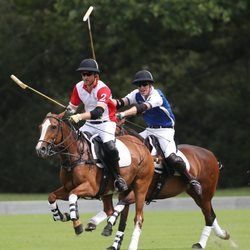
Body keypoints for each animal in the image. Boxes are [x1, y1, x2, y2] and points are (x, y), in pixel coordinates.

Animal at [35, 113, 154, 250]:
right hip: (112, 190)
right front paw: (61, 215)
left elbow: (72, 195)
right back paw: (101, 228)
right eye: (40, 127)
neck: (75, 156)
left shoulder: (90, 188)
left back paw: (131, 244)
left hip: (141, 186)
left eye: (54, 127)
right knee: (113, 210)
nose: (40, 149)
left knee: (138, 217)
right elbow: (52, 196)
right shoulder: (67, 187)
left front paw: (77, 224)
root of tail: (142, 145)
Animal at [86, 127, 230, 250]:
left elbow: (120, 206)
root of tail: (212, 155)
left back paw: (201, 244)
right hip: (196, 194)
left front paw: (103, 224)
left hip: (205, 193)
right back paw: (222, 234)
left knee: (209, 216)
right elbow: (122, 218)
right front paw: (114, 242)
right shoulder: (126, 192)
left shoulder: (140, 192)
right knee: (211, 214)